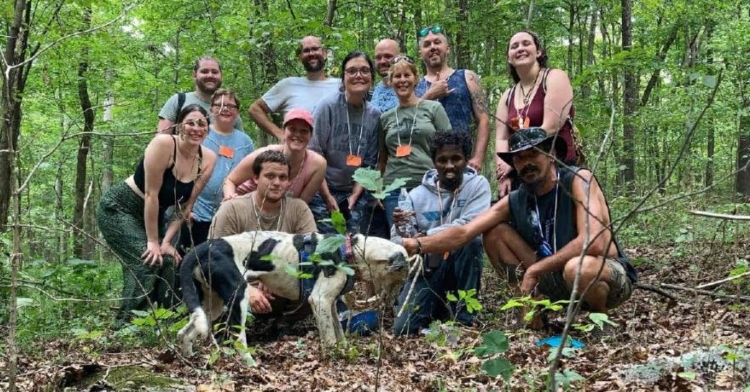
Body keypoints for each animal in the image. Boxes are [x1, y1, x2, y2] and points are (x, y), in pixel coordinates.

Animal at [179, 231, 420, 362]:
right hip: (239, 297)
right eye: (402, 278)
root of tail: (202, 247)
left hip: (212, 304)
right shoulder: (320, 300)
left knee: (185, 332)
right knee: (237, 340)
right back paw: (252, 366)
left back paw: (189, 360)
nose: (394, 303)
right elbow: (330, 339)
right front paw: (335, 360)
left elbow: (340, 334)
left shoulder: (330, 303)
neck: (350, 250)